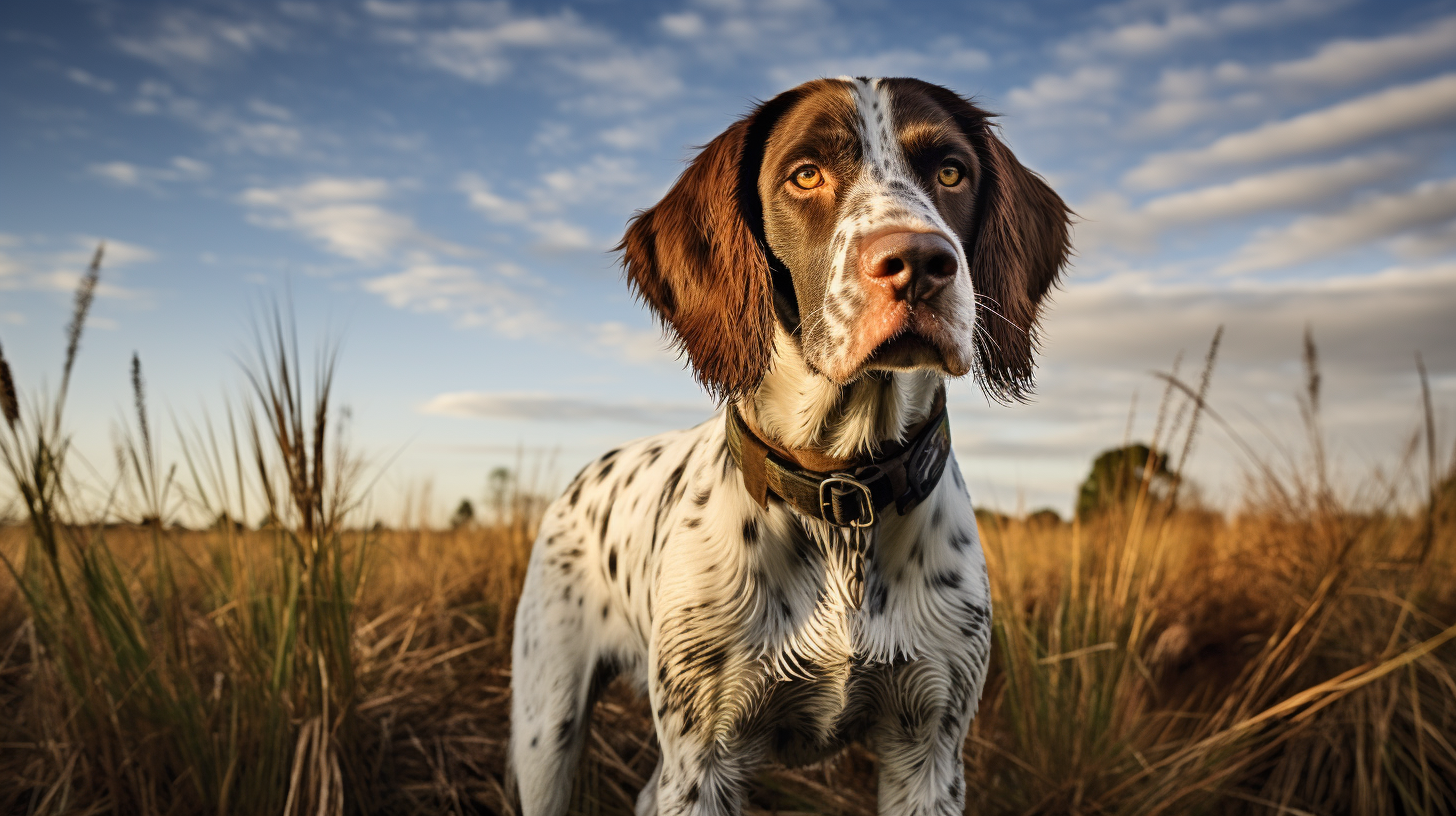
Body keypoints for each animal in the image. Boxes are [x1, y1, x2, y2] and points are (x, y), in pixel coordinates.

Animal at [509, 77, 1071, 816]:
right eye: (805, 175)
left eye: (952, 171)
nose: (921, 263)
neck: (844, 494)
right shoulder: (701, 762)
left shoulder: (930, 751)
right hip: (546, 726)